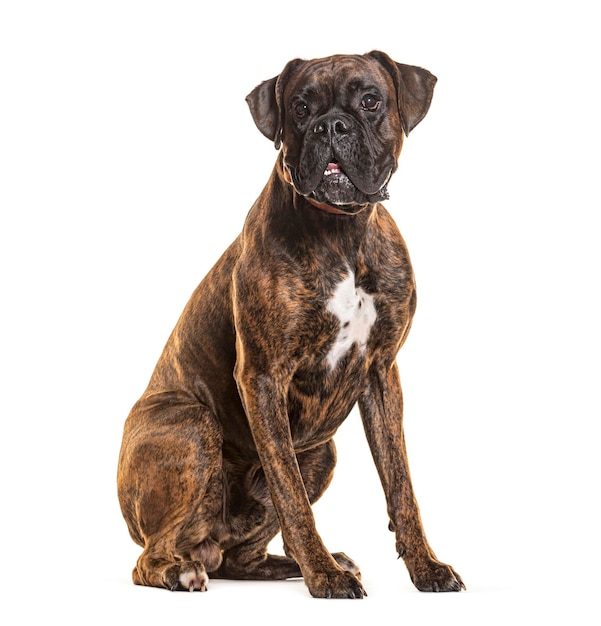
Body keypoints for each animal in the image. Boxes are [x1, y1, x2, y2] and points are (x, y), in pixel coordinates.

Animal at [116, 51, 464, 596]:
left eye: (371, 101)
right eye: (300, 108)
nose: (332, 125)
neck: (342, 230)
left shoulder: (382, 374)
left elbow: (401, 485)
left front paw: (424, 567)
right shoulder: (263, 376)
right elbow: (291, 497)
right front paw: (323, 577)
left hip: (322, 454)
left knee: (238, 557)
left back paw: (298, 563)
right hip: (191, 425)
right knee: (152, 556)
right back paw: (185, 570)